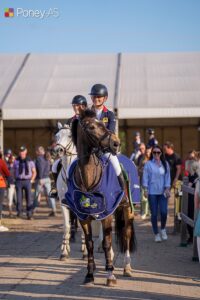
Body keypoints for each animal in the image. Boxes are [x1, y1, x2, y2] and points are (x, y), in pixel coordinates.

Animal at [70, 109, 136, 284]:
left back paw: (126, 267)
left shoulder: (107, 215)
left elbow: (106, 242)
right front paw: (89, 274)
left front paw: (110, 275)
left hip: (127, 210)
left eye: (103, 123)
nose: (116, 143)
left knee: (126, 235)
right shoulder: (83, 217)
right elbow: (90, 244)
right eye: (92, 127)